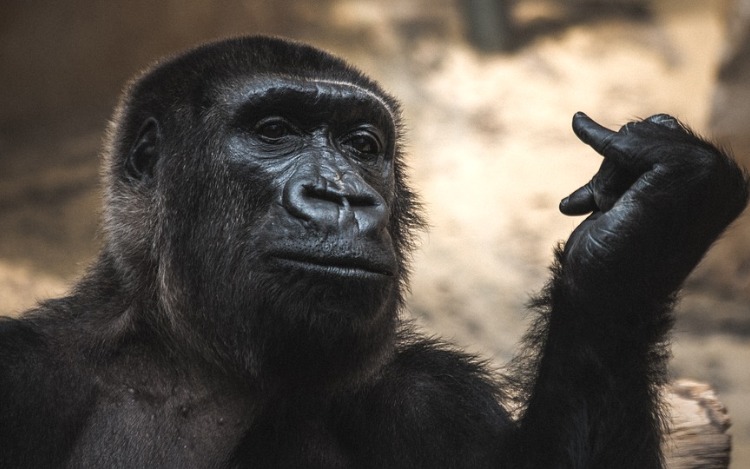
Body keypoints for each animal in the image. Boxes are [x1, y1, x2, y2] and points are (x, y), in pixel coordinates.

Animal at [0, 34, 748, 466]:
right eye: (273, 130)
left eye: (363, 146)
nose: (343, 196)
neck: (200, 360)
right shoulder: (25, 376)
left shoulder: (435, 401)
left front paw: (643, 232)